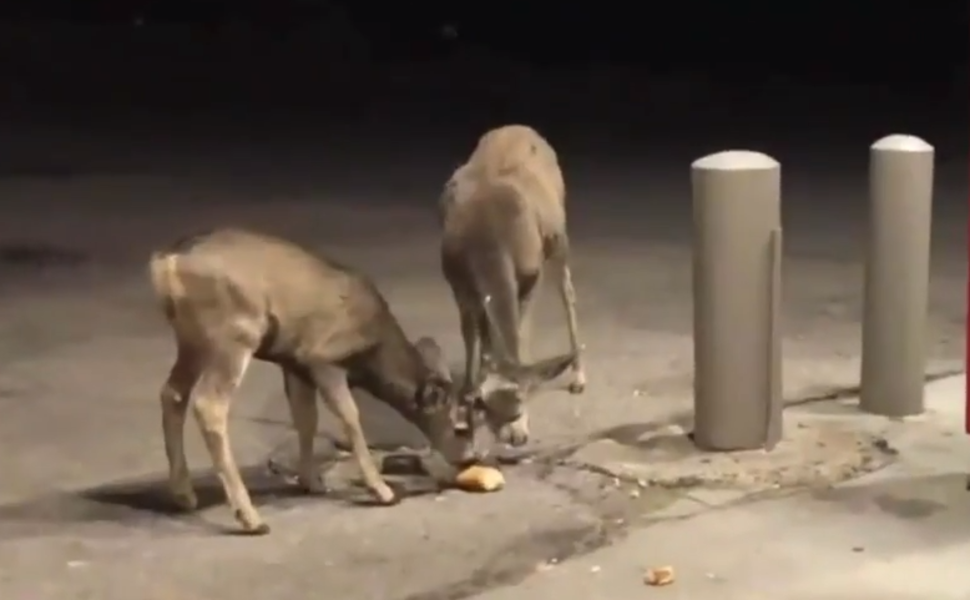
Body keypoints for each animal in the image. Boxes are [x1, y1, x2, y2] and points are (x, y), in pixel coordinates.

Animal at [148, 228, 576, 535]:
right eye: (460, 426)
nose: (469, 459)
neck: (374, 348)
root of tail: (166, 263)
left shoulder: (293, 360)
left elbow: (306, 419)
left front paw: (312, 481)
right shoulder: (323, 357)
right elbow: (350, 419)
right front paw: (381, 490)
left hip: (193, 339)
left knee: (172, 393)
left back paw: (184, 494)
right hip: (234, 332)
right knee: (208, 404)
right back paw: (250, 517)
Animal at [439, 124, 587, 447]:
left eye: (522, 399)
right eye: (486, 404)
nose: (515, 436)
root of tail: (521, 128)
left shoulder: (530, 277)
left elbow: (522, 338)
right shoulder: (458, 281)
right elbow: (471, 336)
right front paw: (465, 398)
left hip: (559, 238)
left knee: (568, 293)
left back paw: (579, 377)